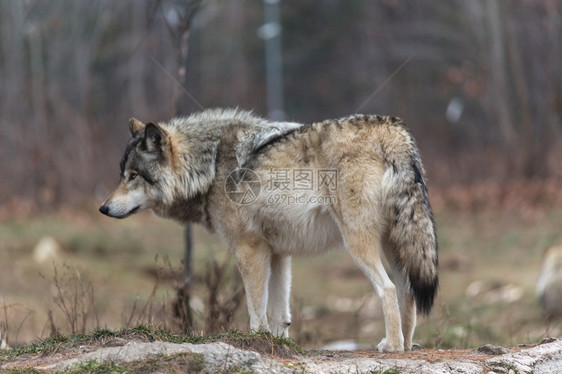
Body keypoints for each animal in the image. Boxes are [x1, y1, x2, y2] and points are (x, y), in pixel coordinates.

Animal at [98, 107, 436, 350]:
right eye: (121, 175)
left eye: (133, 176)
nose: (103, 208)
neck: (209, 166)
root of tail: (393, 131)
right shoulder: (278, 254)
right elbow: (279, 314)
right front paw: (278, 343)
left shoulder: (249, 250)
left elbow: (256, 309)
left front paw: (256, 340)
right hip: (395, 245)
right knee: (407, 291)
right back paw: (405, 344)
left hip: (358, 244)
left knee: (387, 289)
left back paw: (392, 347)